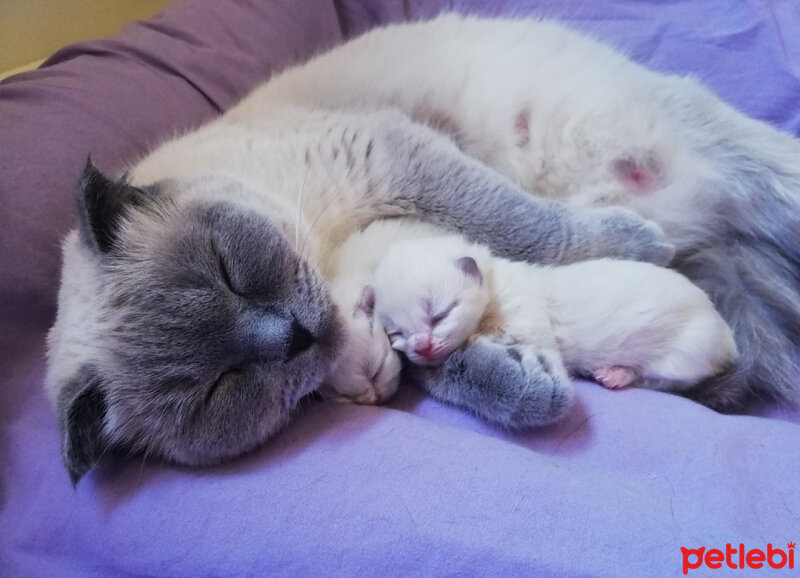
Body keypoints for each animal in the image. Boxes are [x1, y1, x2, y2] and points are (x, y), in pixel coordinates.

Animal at [45, 104, 668, 482]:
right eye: (218, 388)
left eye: (225, 272)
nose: (291, 336)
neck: (326, 253)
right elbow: (437, 357)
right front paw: (526, 383)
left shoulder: (386, 158)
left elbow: (527, 229)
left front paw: (641, 245)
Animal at [362, 219, 736, 410]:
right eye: (396, 334)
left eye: (439, 314)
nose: (422, 348)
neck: (496, 285)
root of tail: (726, 337)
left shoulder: (528, 320)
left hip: (684, 353)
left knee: (661, 381)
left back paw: (616, 374)